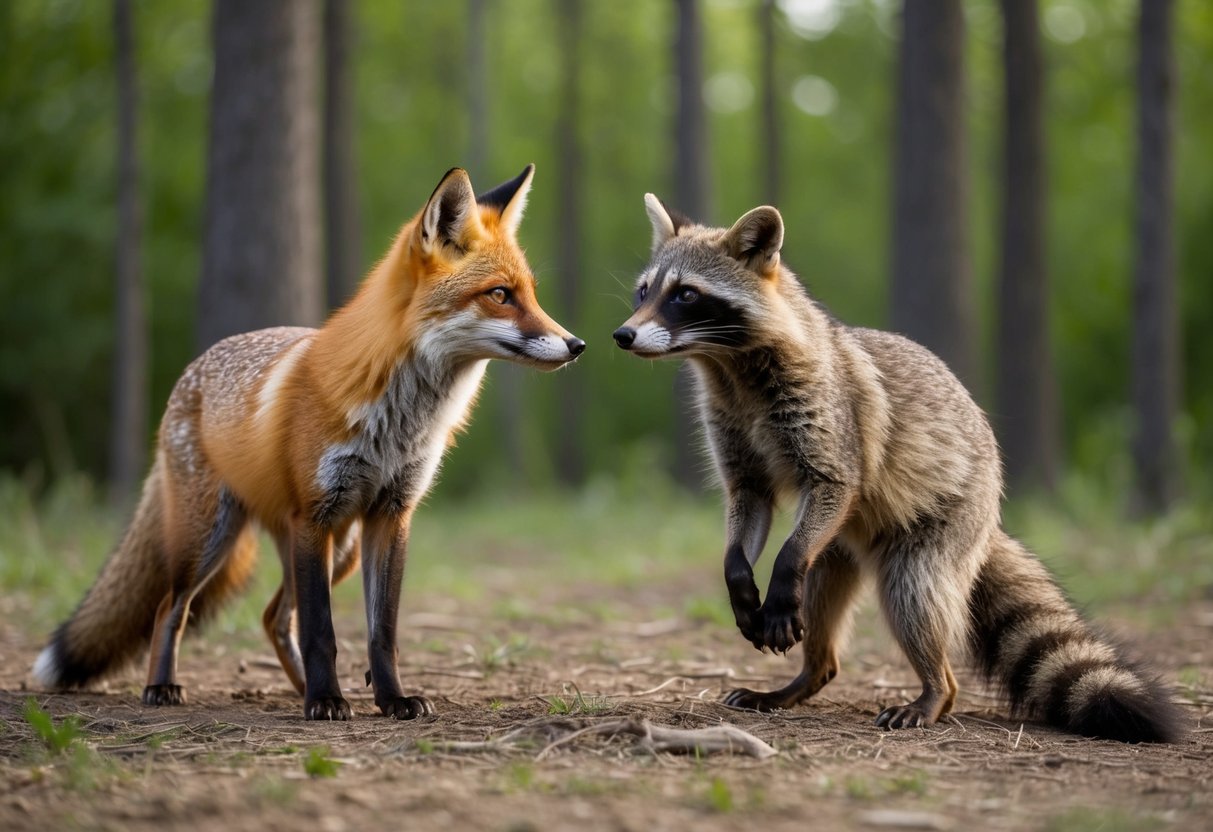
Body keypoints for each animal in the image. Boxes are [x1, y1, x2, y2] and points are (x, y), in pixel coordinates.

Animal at [34, 165, 585, 720]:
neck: (399, 421)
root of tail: (192, 371)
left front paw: (391, 698)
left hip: (338, 550)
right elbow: (322, 631)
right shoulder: (314, 514)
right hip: (212, 537)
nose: (577, 345)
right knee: (174, 607)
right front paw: (325, 700)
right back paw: (165, 686)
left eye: (532, 294)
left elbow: (382, 632)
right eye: (500, 295)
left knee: (273, 617)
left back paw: (300, 687)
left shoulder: (391, 515)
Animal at [612, 194, 1182, 743]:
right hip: (837, 545)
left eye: (686, 295)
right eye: (644, 292)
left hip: (939, 528)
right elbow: (747, 506)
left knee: (907, 597)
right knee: (822, 606)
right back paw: (804, 677)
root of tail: (990, 518)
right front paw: (737, 576)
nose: (622, 335)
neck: (729, 369)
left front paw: (778, 573)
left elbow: (832, 486)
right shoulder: (735, 440)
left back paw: (933, 691)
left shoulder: (830, 424)